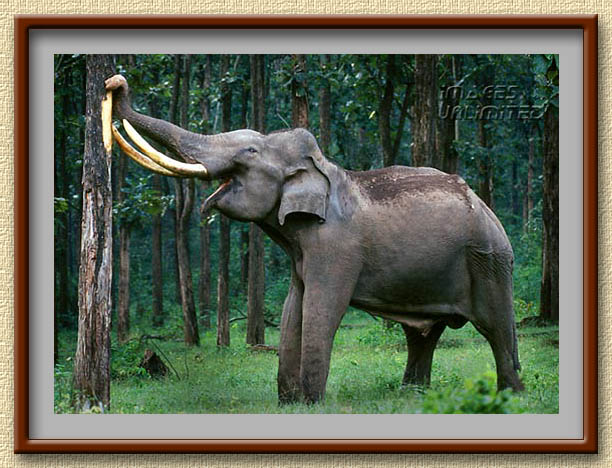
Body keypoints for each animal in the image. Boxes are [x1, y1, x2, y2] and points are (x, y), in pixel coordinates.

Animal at [104, 75, 520, 404]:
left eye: (250, 151)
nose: (114, 83)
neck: (322, 168)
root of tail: (490, 212)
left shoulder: (336, 247)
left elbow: (322, 309)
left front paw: (311, 401)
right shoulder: (302, 256)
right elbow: (294, 307)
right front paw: (289, 403)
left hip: (489, 261)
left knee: (496, 327)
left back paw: (510, 396)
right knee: (423, 334)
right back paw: (412, 395)